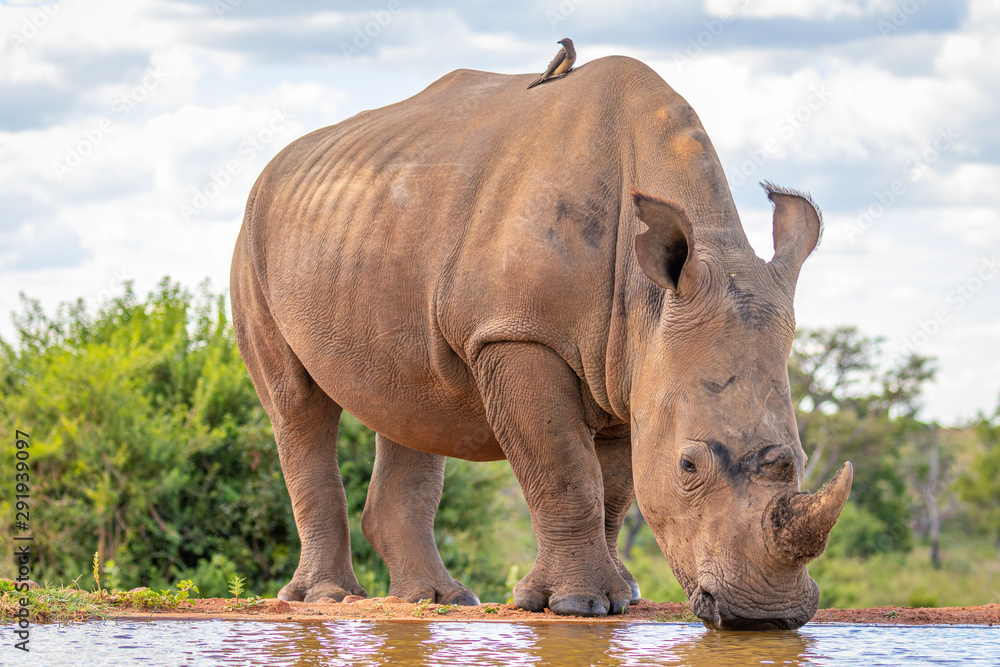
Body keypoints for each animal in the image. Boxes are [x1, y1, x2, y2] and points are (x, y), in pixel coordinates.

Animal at [230, 55, 852, 630]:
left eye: (800, 460)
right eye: (688, 466)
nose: (764, 615)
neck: (649, 295)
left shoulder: (630, 364)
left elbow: (613, 488)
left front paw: (621, 597)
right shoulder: (518, 333)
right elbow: (563, 468)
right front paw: (574, 605)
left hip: (372, 225)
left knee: (407, 401)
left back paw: (436, 600)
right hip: (254, 239)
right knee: (296, 403)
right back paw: (328, 599)